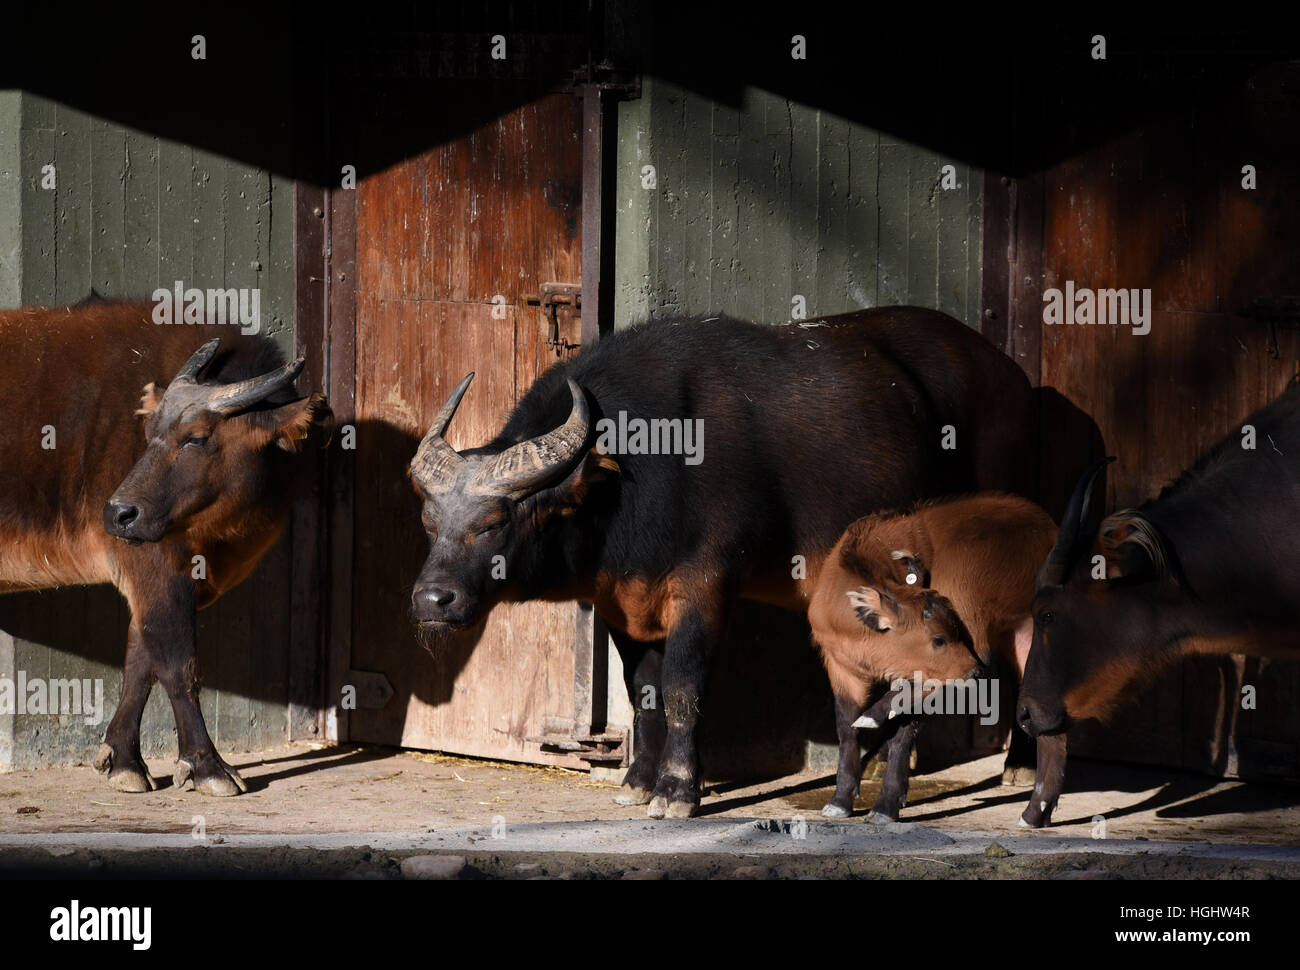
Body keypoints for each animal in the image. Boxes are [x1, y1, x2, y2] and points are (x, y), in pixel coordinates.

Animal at [0, 300, 330, 795]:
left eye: (196, 437)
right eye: (149, 430)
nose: (118, 513)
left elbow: (140, 662)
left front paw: (124, 761)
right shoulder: (155, 568)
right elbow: (178, 666)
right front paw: (207, 765)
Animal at [405, 304, 1034, 816]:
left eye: (493, 522)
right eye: (430, 521)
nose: (432, 600)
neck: (638, 469)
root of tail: (1012, 376)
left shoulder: (704, 585)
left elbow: (684, 686)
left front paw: (677, 790)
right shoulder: (622, 602)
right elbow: (644, 693)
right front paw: (637, 781)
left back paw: (1011, 767)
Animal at [811, 491, 1066, 821]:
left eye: (948, 633)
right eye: (938, 639)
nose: (975, 672)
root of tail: (1046, 530)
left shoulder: (922, 669)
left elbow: (903, 729)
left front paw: (886, 804)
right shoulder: (841, 669)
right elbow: (846, 731)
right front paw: (840, 799)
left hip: (974, 620)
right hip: (1025, 634)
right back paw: (1037, 810)